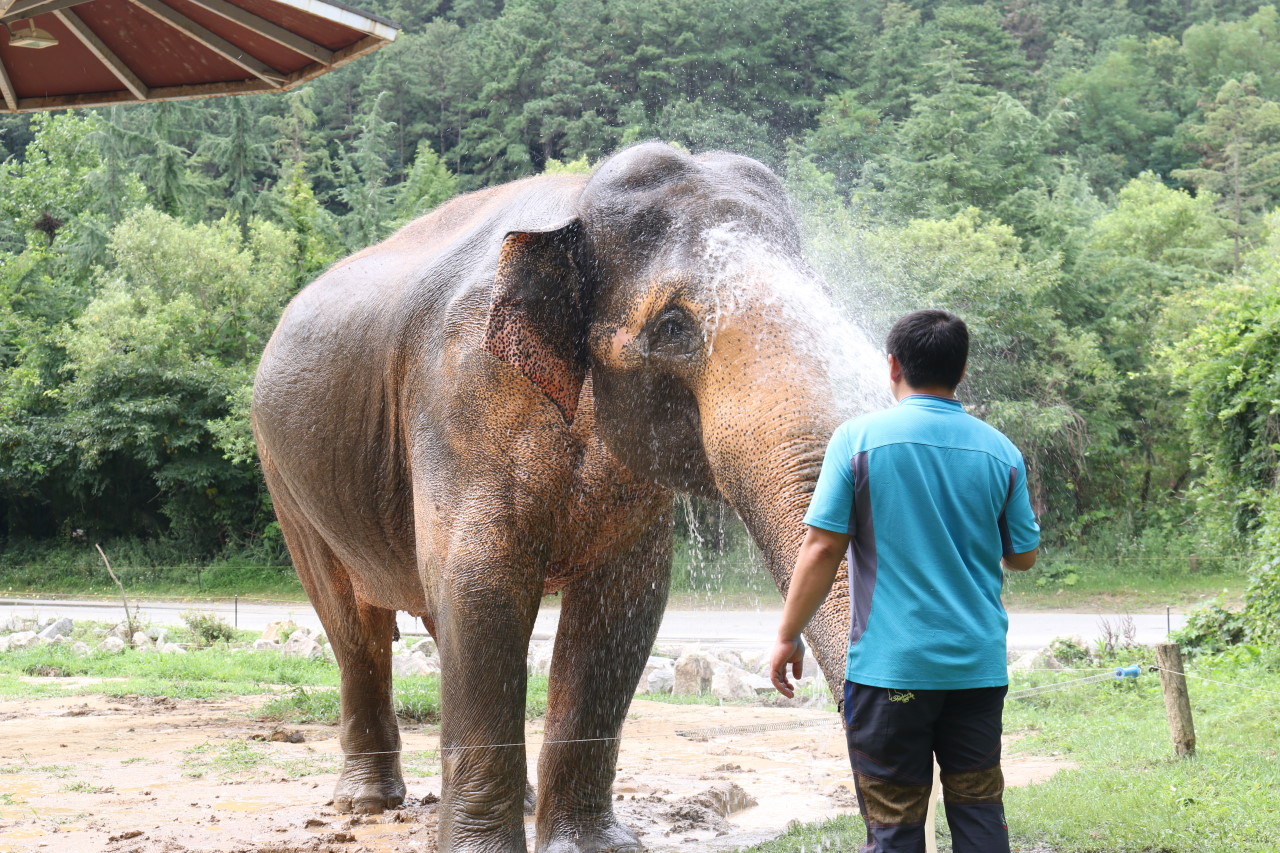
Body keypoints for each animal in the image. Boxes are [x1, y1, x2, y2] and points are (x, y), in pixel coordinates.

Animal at [253, 142, 885, 845]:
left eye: (826, 297)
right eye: (673, 326)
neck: (572, 209)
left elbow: (622, 606)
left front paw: (590, 847)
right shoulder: (461, 396)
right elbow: (482, 583)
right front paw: (480, 849)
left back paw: (517, 802)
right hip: (286, 477)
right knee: (352, 623)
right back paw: (366, 805)